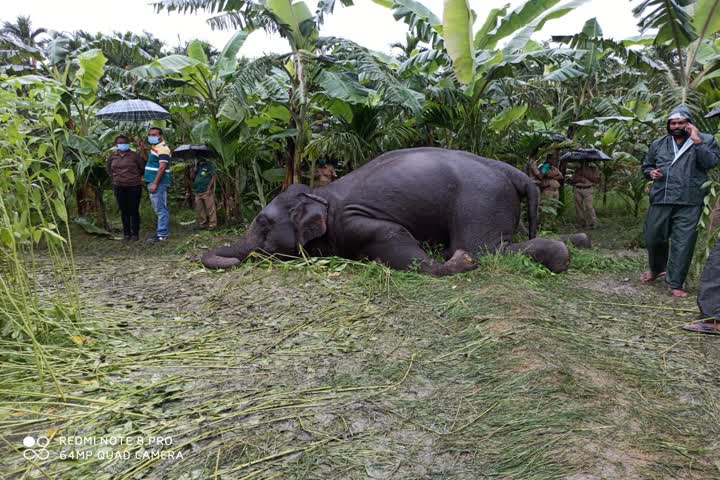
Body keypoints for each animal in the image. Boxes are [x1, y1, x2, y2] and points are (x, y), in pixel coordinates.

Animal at [201, 147, 568, 274]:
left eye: (263, 225)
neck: (320, 195)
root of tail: (516, 173)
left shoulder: (353, 221)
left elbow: (388, 233)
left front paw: (457, 263)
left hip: (479, 201)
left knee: (483, 249)